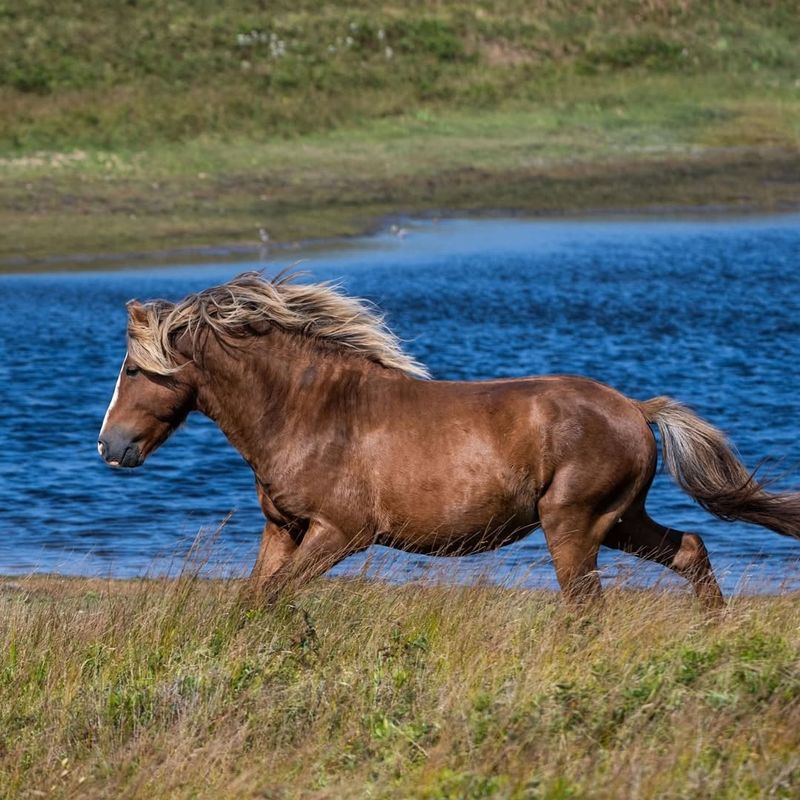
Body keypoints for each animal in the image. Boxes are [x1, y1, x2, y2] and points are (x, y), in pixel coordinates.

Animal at [98, 272, 800, 608]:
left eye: (132, 369)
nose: (110, 447)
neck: (309, 412)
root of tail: (634, 408)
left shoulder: (342, 532)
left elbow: (276, 595)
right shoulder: (285, 529)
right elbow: (257, 599)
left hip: (574, 523)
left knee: (586, 608)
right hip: (621, 520)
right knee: (690, 551)